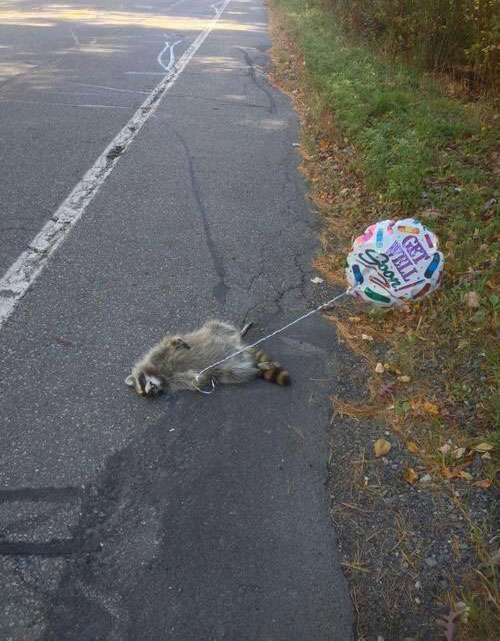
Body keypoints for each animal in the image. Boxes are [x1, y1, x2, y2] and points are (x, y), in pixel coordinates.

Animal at [124, 318, 290, 398]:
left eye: (142, 382)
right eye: (145, 394)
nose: (152, 392)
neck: (160, 375)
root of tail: (239, 347)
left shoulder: (157, 355)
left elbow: (169, 344)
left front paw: (176, 342)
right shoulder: (175, 381)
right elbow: (192, 381)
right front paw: (197, 378)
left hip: (216, 331)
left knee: (221, 326)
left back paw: (240, 332)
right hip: (230, 368)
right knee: (240, 372)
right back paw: (258, 367)